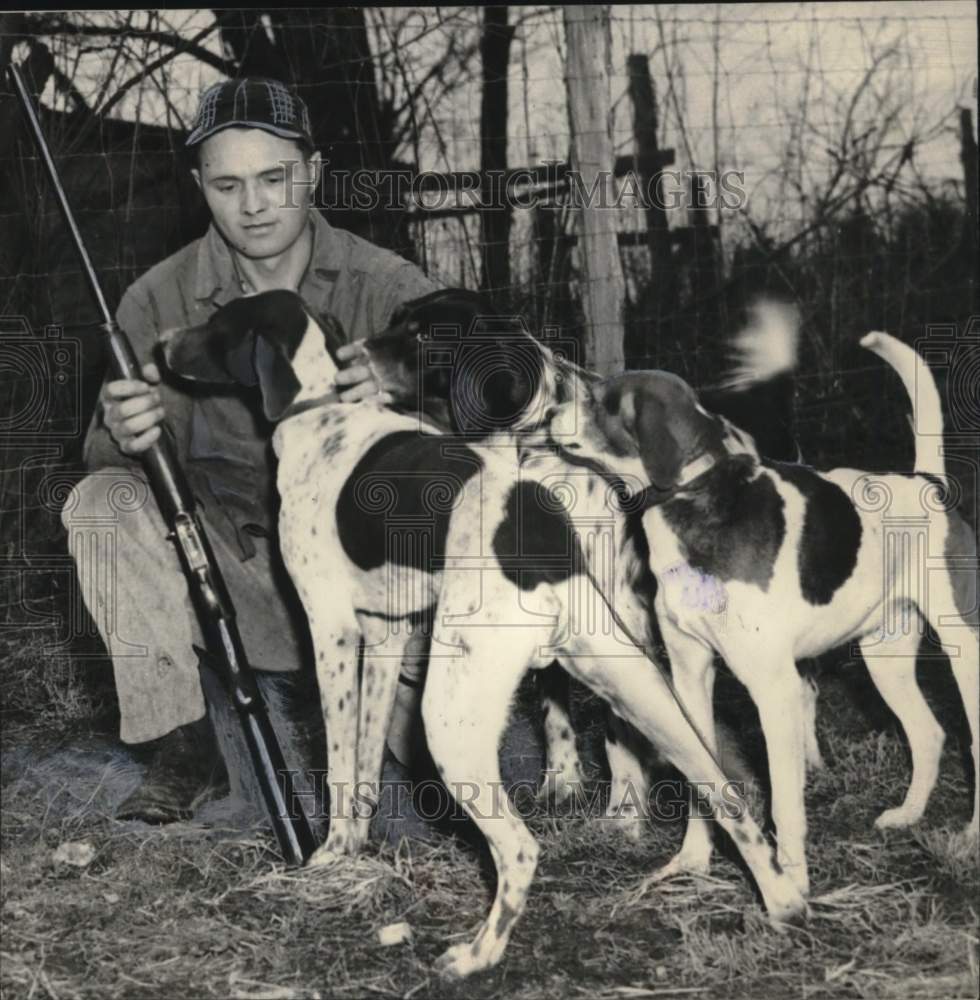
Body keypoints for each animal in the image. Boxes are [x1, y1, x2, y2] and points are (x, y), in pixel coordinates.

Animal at [165, 290, 808, 976]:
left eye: (215, 323)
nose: (163, 344)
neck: (325, 412)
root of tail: (539, 532)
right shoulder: (386, 634)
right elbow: (364, 760)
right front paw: (358, 845)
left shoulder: (330, 632)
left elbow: (338, 763)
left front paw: (332, 854)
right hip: (644, 688)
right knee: (728, 796)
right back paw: (781, 902)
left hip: (450, 719)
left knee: (521, 848)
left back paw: (478, 952)